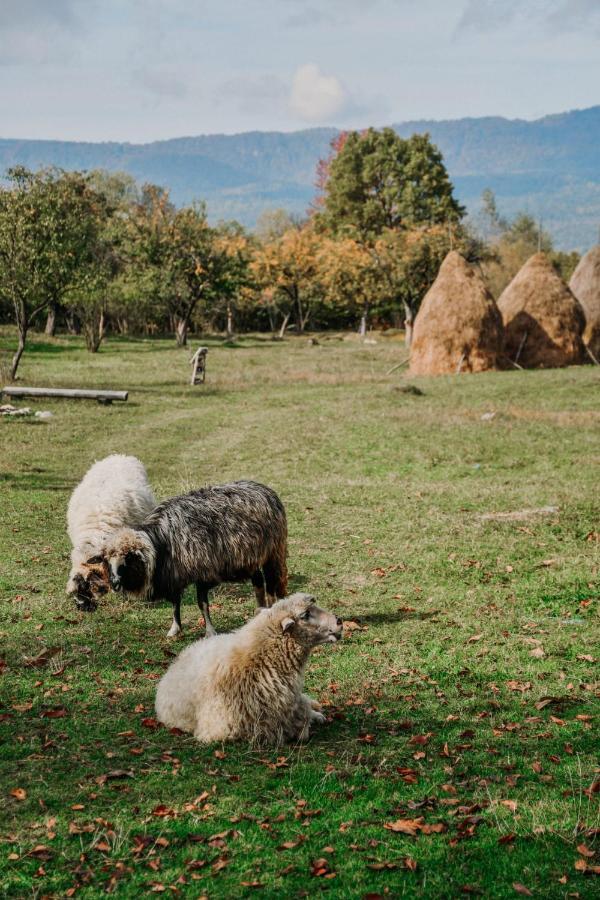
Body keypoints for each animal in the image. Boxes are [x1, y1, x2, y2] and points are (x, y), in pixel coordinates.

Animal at [102, 482, 288, 636]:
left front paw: (210, 631)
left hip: (273, 553)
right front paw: (175, 629)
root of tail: (265, 489)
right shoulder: (174, 576)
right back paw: (260, 610)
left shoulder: (203, 573)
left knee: (272, 583)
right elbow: (175, 603)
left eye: (128, 558)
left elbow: (202, 603)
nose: (114, 583)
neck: (162, 541)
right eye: (108, 561)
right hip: (250, 558)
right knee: (258, 582)